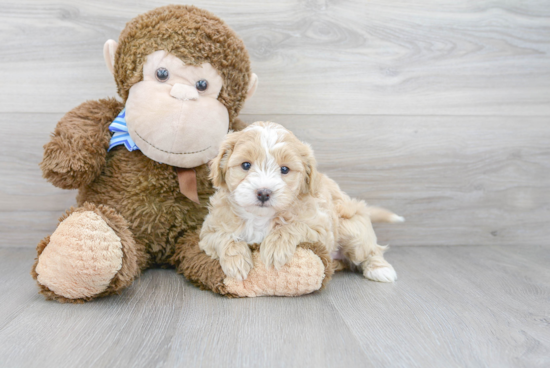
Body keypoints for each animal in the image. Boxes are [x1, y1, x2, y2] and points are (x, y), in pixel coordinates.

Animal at [201, 122, 404, 284]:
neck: (259, 218)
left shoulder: (321, 227)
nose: (264, 193)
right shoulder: (208, 231)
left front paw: (275, 247)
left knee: (371, 249)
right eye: (245, 165)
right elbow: (223, 236)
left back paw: (380, 269)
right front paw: (237, 262)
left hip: (350, 226)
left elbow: (294, 226)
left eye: (284, 169)